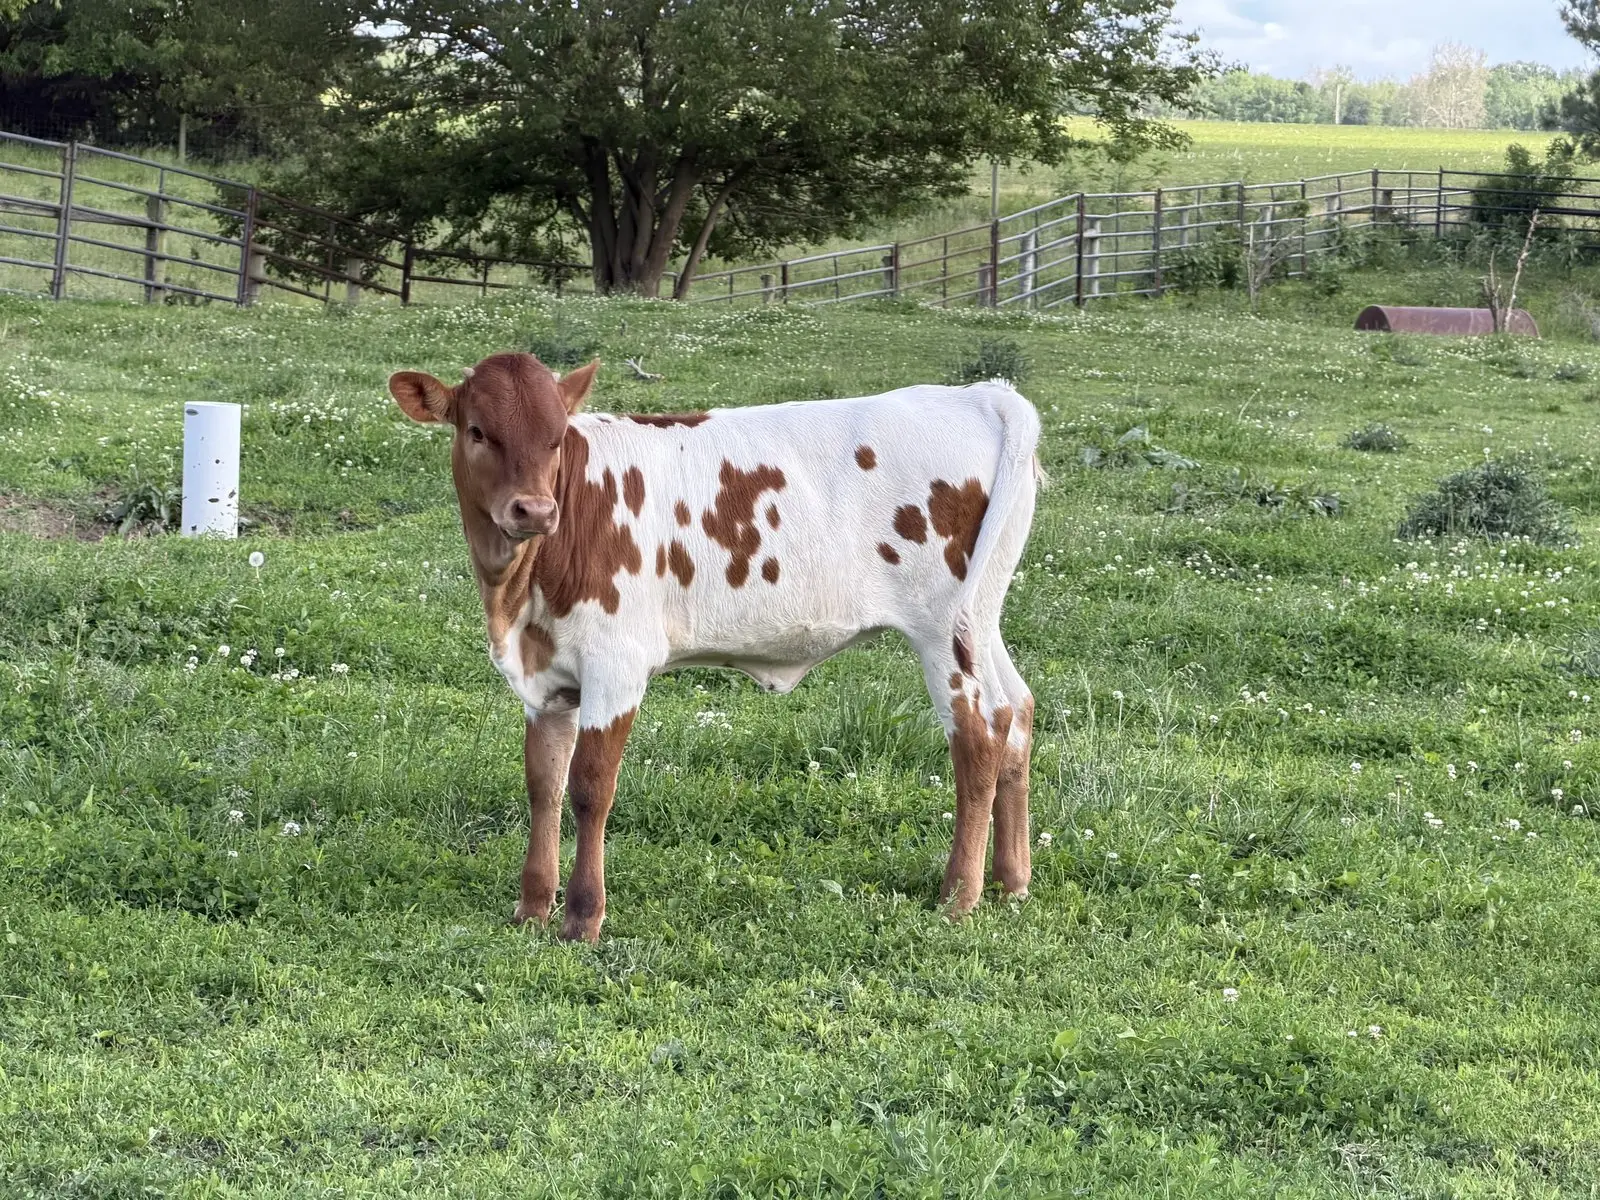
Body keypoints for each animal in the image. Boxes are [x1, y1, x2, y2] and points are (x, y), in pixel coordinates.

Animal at [388, 352, 1040, 942]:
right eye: (477, 430)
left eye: (555, 439)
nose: (534, 509)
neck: (518, 595)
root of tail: (981, 396)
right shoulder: (546, 681)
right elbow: (543, 786)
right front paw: (531, 908)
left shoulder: (616, 663)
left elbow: (590, 788)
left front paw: (582, 917)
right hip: (983, 618)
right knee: (1018, 710)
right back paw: (1011, 881)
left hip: (943, 628)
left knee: (979, 732)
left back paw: (959, 896)